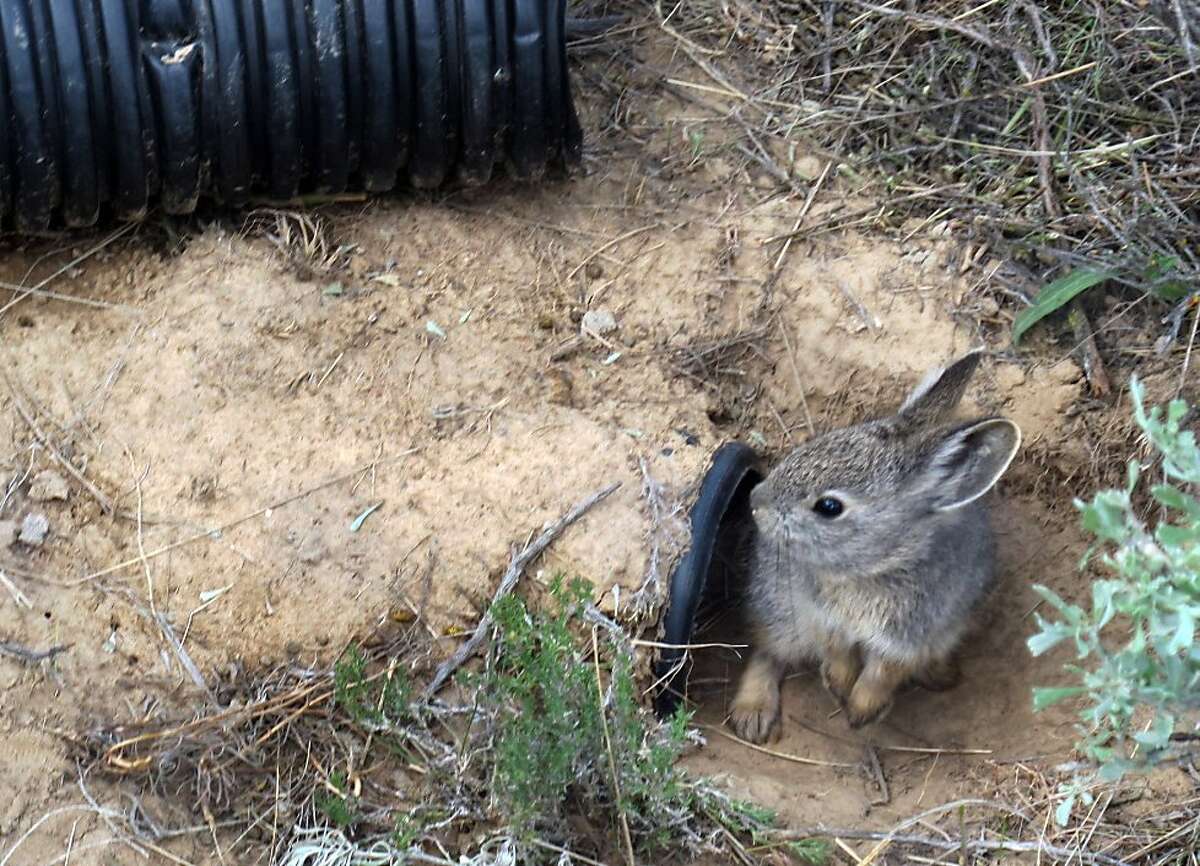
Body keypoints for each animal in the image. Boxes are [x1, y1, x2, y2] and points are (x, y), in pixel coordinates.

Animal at [729, 349, 1020, 741]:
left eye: (829, 507)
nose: (756, 500)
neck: (877, 565)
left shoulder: (911, 637)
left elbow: (884, 672)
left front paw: (860, 711)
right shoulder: (821, 618)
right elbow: (836, 654)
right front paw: (840, 688)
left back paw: (941, 675)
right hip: (777, 606)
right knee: (767, 651)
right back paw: (752, 715)